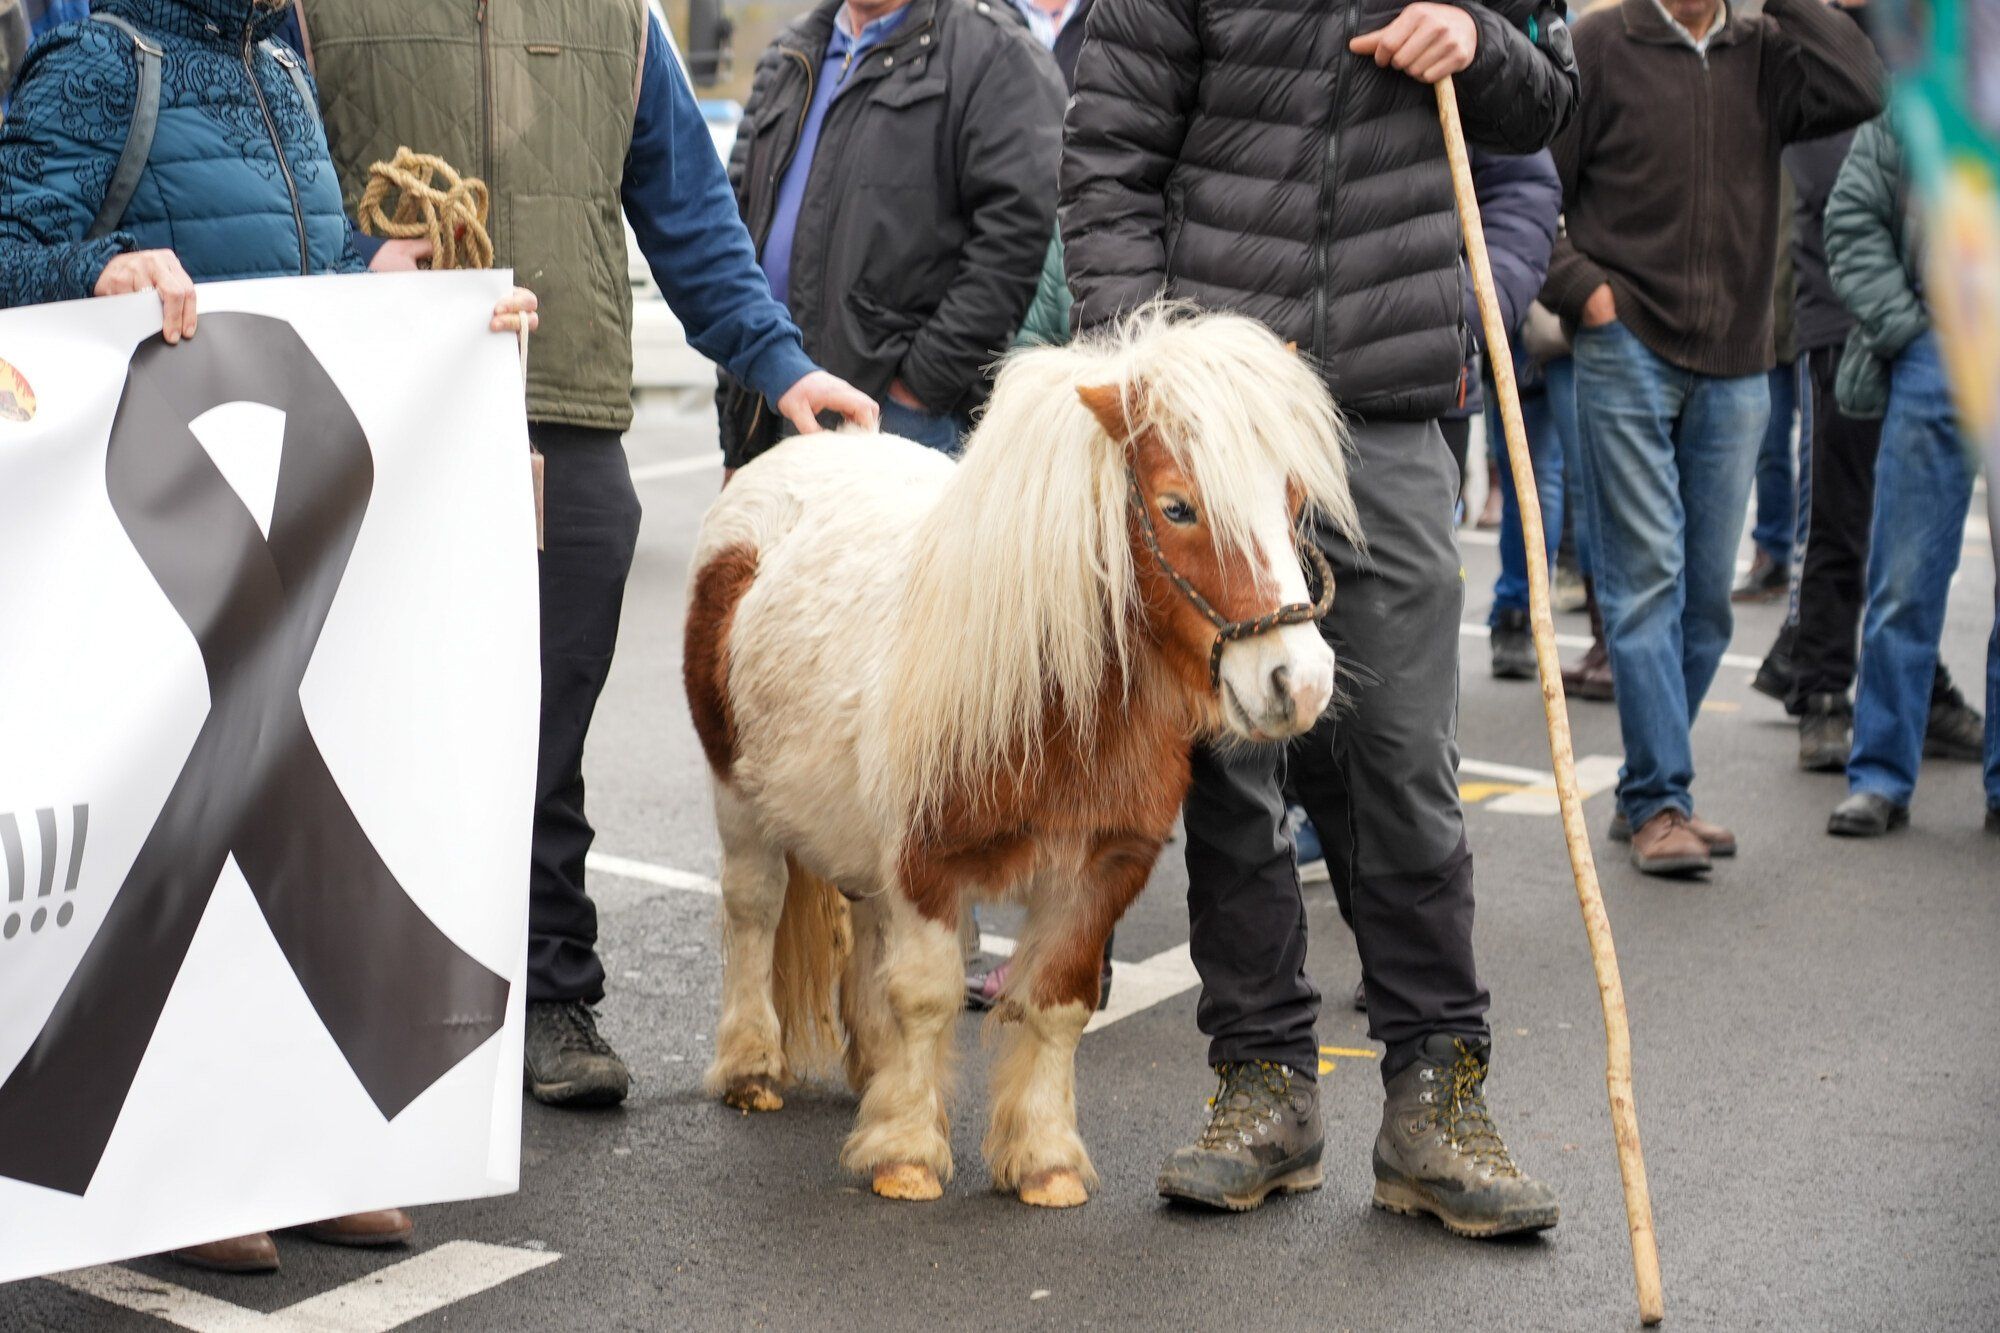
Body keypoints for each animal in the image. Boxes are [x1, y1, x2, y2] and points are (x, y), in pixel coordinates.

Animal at [680, 304, 1352, 1200]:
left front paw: (1043, 1157)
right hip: (739, 797)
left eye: (1291, 498)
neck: (1054, 700)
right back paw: (752, 1062)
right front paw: (905, 1151)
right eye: (1177, 507)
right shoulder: (925, 863)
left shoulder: (1102, 869)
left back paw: (871, 1064)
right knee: (753, 906)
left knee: (863, 922)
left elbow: (1056, 1004)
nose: (1299, 681)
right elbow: (927, 995)